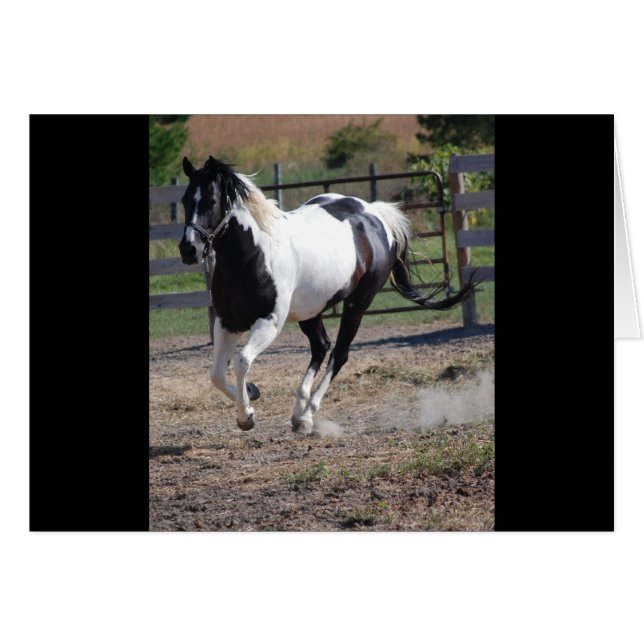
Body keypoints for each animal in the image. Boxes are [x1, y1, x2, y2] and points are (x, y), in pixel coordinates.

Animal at [178, 156, 476, 434]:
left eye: (211, 201)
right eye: (184, 201)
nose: (188, 250)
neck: (253, 255)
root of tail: (374, 214)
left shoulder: (269, 323)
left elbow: (241, 362)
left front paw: (247, 416)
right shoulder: (226, 321)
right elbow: (216, 374)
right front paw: (252, 393)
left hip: (358, 303)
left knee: (339, 353)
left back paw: (307, 416)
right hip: (311, 310)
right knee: (321, 346)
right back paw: (298, 411)